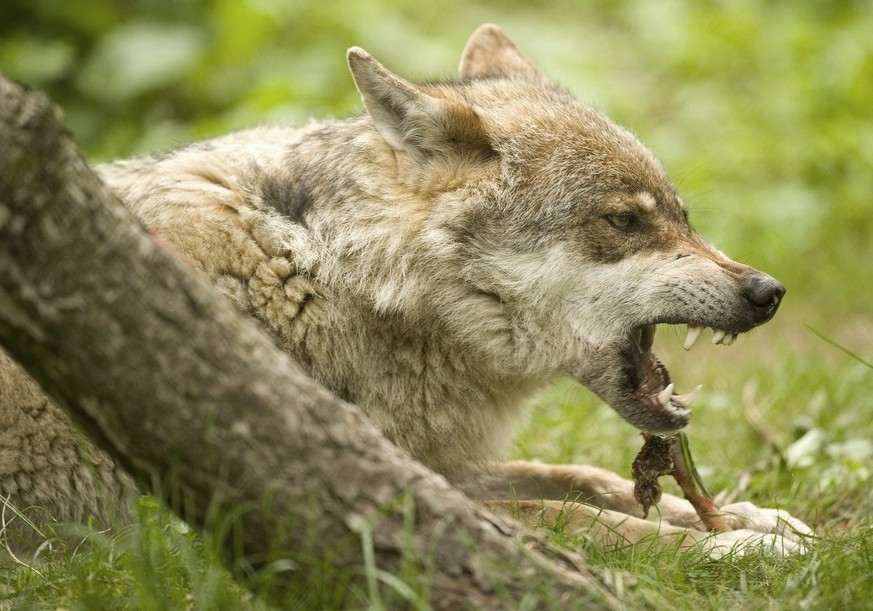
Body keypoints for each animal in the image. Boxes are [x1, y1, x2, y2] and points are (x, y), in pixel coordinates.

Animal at [0, 25, 808, 556]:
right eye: (624, 221)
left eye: (681, 216)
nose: (768, 290)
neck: (322, 279)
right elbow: (571, 515)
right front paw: (729, 549)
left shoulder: (425, 462)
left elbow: (580, 477)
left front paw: (747, 517)